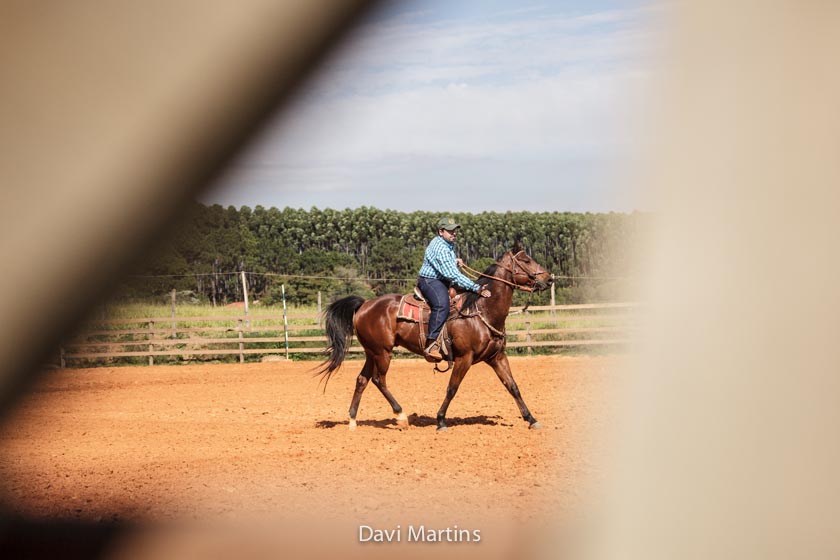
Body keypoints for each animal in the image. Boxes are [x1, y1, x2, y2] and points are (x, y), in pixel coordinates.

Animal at [318, 250, 556, 434]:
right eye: (526, 260)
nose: (549, 279)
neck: (480, 310)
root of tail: (364, 304)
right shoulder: (464, 358)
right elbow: (452, 388)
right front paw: (440, 421)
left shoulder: (497, 357)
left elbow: (513, 386)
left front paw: (531, 419)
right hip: (383, 352)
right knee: (379, 380)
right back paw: (401, 416)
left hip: (372, 352)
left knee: (362, 380)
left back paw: (352, 421)